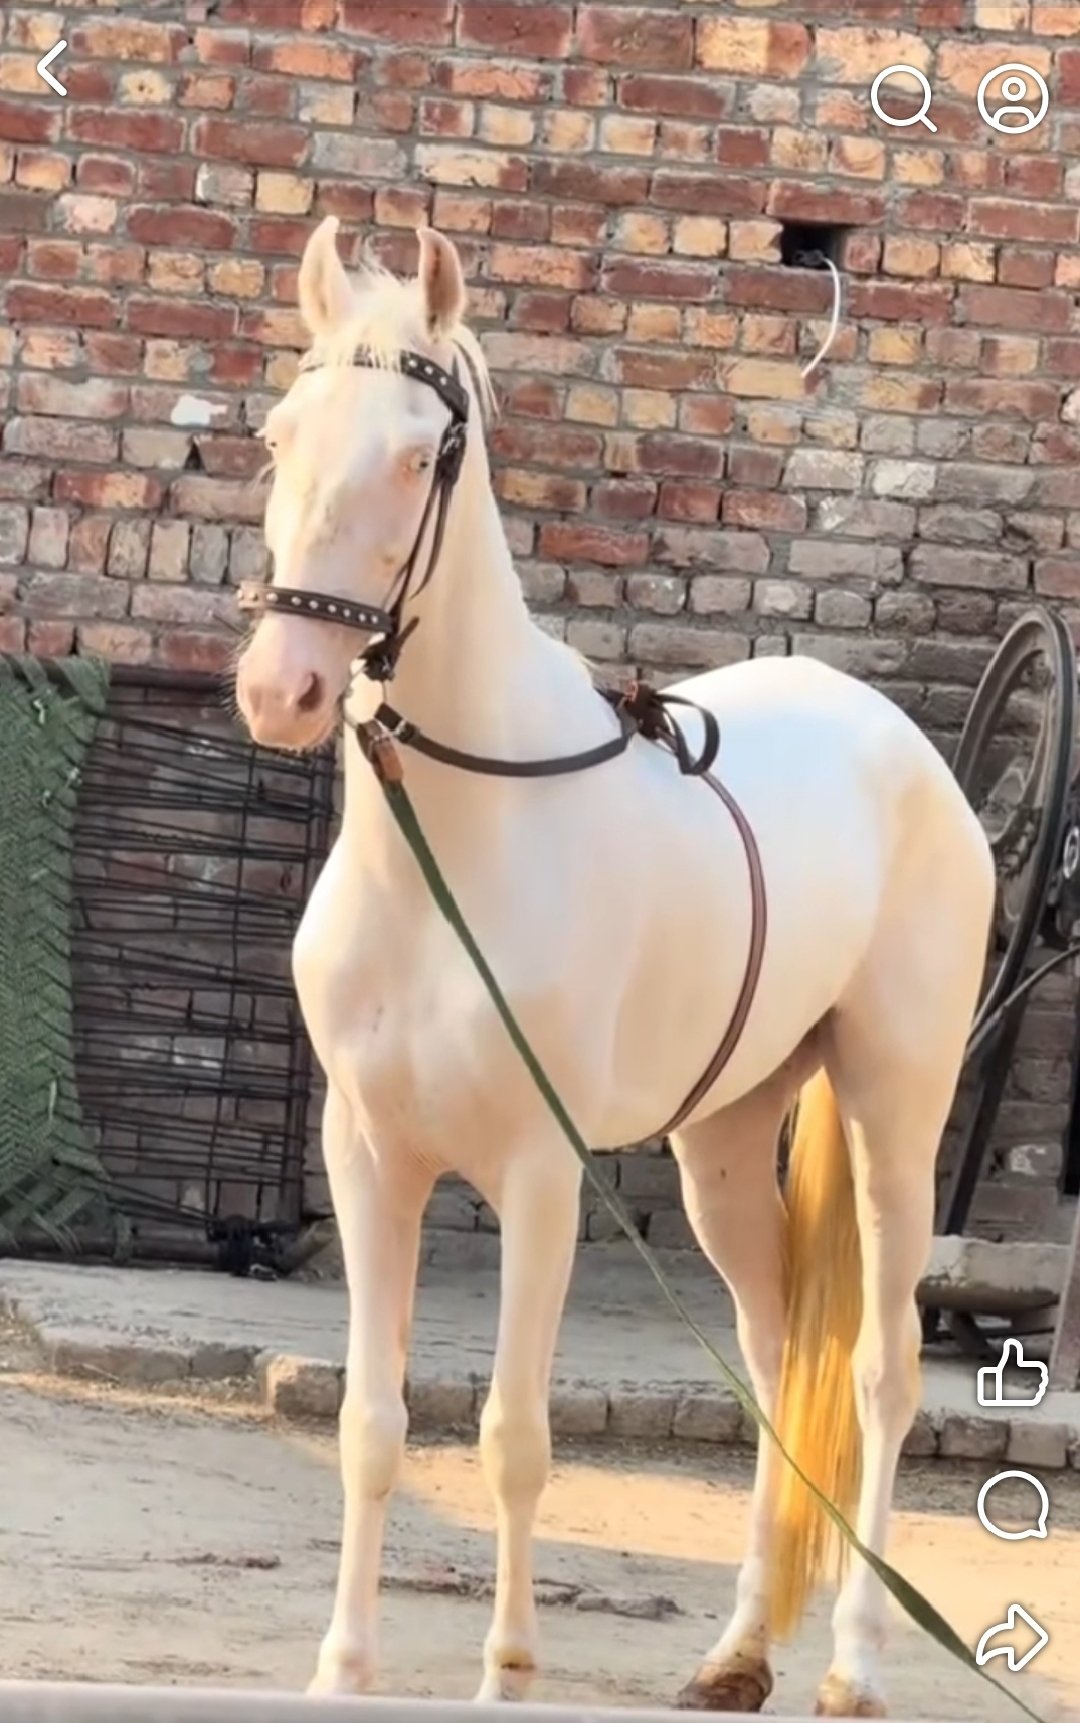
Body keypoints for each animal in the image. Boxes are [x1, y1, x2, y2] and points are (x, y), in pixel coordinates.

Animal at [234, 216, 994, 1718]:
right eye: (283, 432)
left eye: (421, 453)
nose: (280, 687)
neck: (458, 847)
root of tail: (900, 742)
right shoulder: (368, 1155)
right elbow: (370, 1420)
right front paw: (345, 1664)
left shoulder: (539, 1171)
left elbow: (514, 1434)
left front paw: (510, 1669)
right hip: (723, 1144)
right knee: (778, 1359)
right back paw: (738, 1651)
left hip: (898, 1111)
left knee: (880, 1371)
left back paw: (854, 1662)